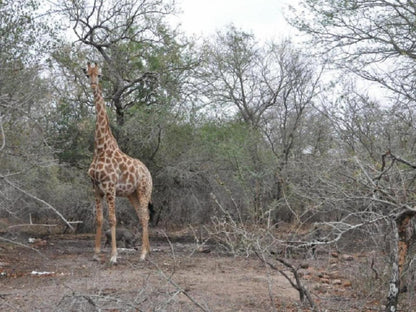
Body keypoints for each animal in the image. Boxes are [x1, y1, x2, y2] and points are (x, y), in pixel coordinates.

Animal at [84, 62, 153, 264]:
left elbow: (113, 219)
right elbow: (99, 219)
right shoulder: (95, 188)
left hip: (144, 190)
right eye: (87, 74)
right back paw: (147, 250)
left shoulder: (110, 187)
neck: (100, 148)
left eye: (99, 74)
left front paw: (114, 256)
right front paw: (96, 253)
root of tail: (148, 173)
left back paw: (143, 254)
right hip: (132, 194)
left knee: (145, 217)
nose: (93, 85)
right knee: (142, 216)